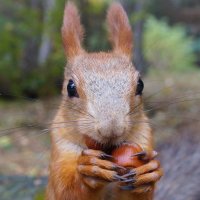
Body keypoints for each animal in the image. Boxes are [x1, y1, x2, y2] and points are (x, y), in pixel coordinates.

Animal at [46, 1, 163, 200]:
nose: (111, 129)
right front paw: (90, 171)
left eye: (140, 85)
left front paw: (149, 171)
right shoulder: (61, 147)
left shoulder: (144, 137)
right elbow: (66, 190)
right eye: (70, 87)